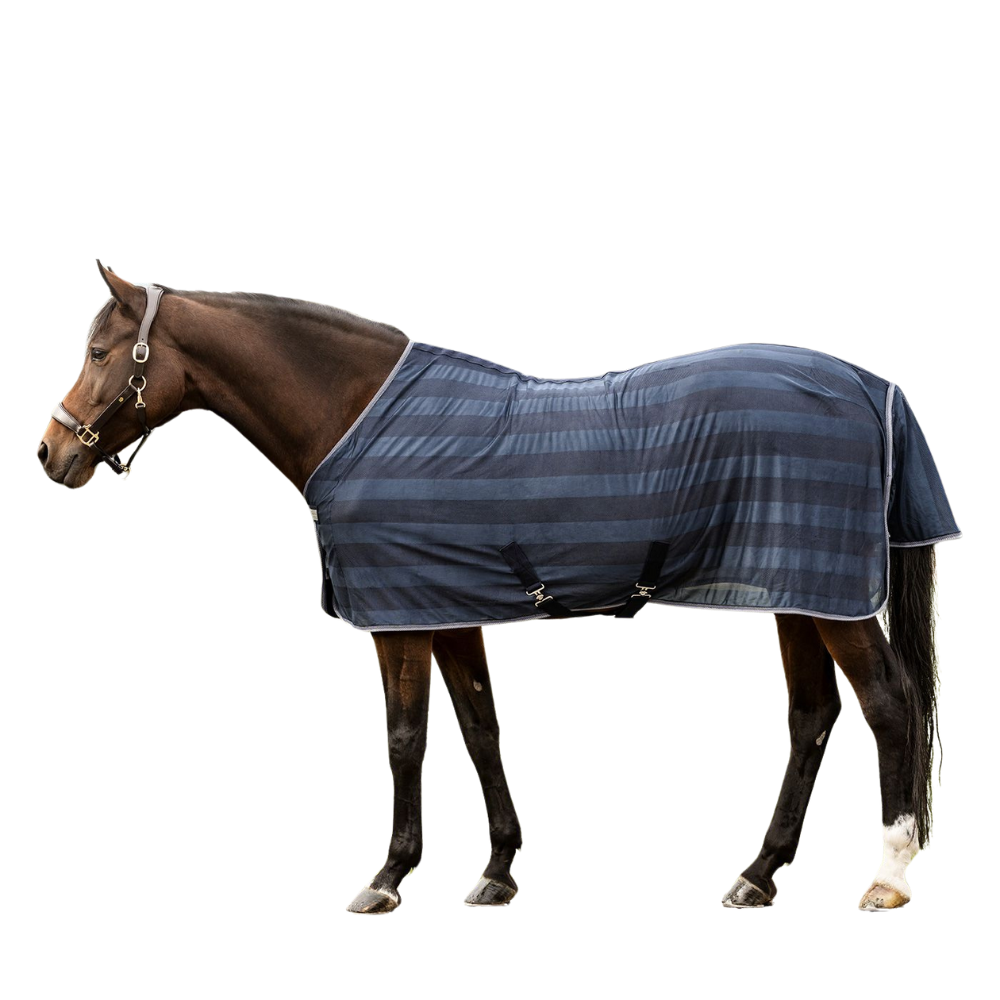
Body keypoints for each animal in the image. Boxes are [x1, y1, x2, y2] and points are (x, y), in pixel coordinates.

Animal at [38, 262, 959, 913]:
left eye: (98, 352)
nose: (51, 452)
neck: (359, 417)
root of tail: (870, 386)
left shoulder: (399, 620)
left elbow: (405, 739)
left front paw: (389, 875)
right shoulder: (449, 610)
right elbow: (481, 730)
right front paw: (497, 870)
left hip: (831, 599)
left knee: (890, 704)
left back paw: (887, 876)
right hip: (801, 591)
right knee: (813, 717)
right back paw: (758, 872)